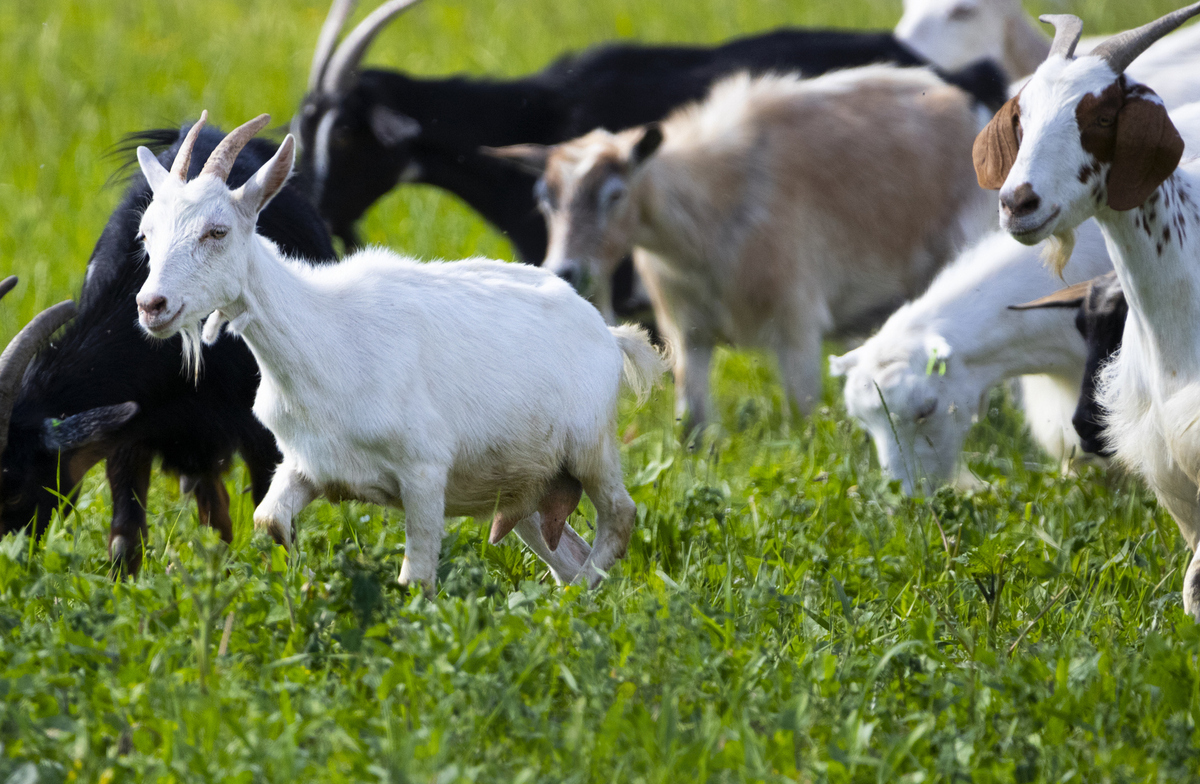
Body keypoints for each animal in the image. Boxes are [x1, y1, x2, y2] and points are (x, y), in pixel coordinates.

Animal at [0, 122, 337, 576]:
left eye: (15, 489)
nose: (151, 306)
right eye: (145, 235)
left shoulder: (264, 431)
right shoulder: (132, 430)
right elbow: (126, 537)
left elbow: (275, 524)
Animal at [132, 113, 667, 589]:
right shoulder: (307, 464)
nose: (151, 305)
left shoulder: (425, 473)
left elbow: (416, 578)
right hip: (524, 485)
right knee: (566, 550)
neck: (323, 336)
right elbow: (270, 522)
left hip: (590, 448)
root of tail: (607, 334)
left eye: (217, 231)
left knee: (620, 517)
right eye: (146, 233)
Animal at [491, 67, 994, 427]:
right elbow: (691, 426)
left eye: (615, 195)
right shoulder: (687, 332)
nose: (565, 269)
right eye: (544, 198)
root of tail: (960, 103)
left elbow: (802, 418)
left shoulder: (796, 321)